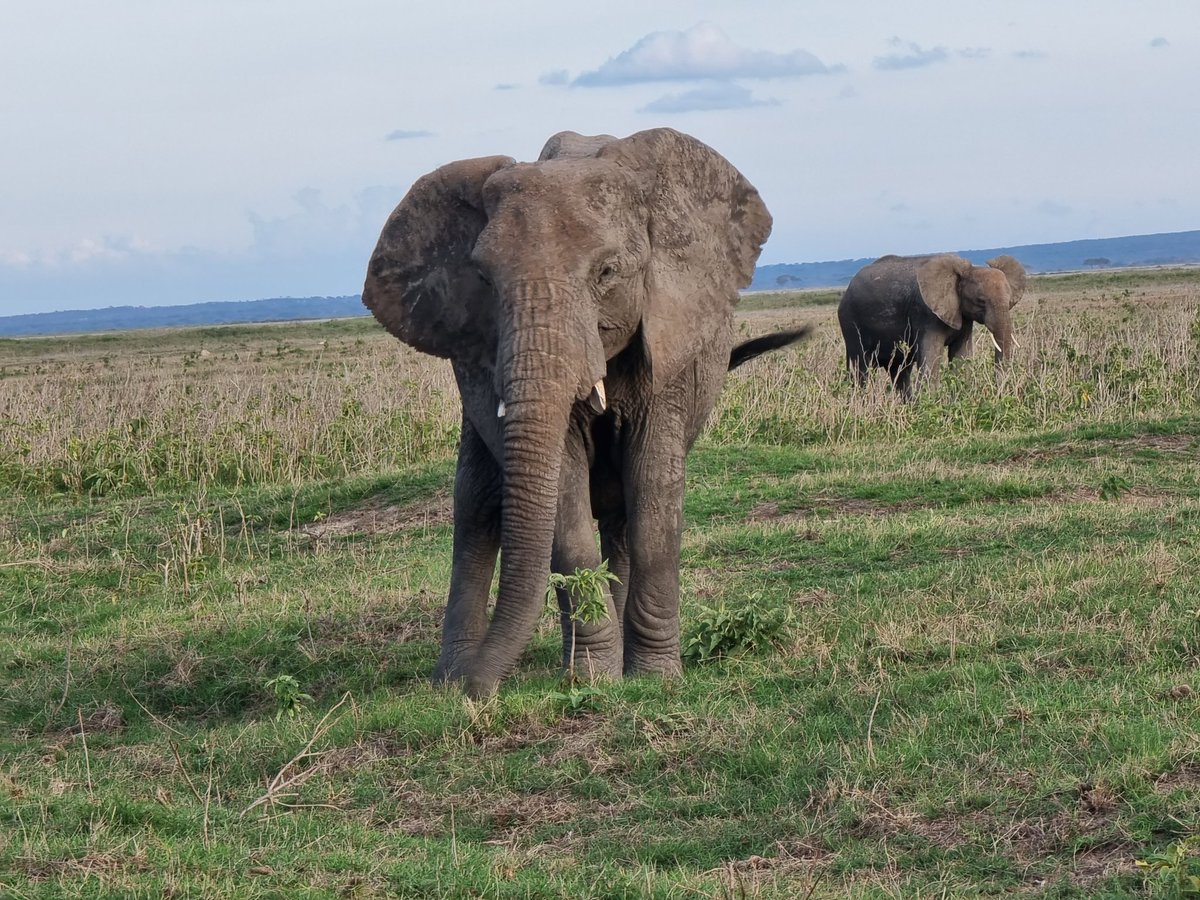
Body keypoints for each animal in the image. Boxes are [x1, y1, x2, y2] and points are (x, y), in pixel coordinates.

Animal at [362, 127, 801, 697]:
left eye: (607, 272)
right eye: (483, 279)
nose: (478, 696)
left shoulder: (672, 340)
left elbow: (654, 492)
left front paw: (654, 680)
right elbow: (563, 502)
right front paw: (595, 678)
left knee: (618, 519)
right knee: (477, 508)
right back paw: (460, 677)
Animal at [837, 253, 1026, 396]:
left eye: (1009, 300)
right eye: (980, 301)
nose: (999, 393)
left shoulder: (962, 315)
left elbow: (961, 355)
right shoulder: (926, 314)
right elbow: (932, 358)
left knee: (900, 371)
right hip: (850, 322)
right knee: (861, 369)